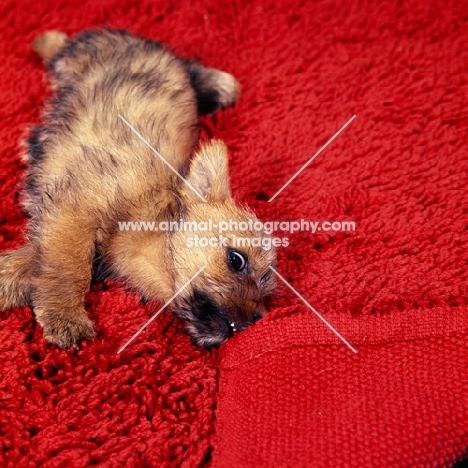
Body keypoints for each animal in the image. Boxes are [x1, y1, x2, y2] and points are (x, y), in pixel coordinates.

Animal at [0, 29, 274, 350]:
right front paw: (66, 316)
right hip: (82, 53)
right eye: (236, 260)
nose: (258, 319)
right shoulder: (73, 213)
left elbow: (33, 262)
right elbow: (68, 267)